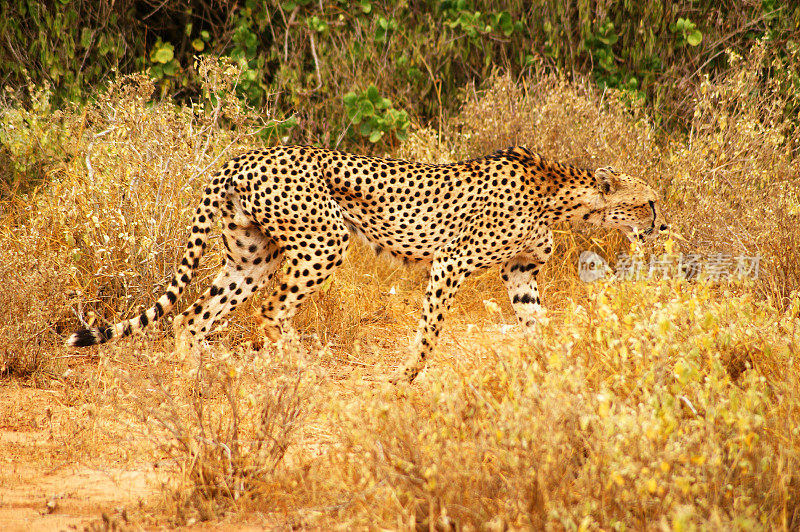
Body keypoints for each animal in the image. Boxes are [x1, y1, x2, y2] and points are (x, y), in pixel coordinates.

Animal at [65, 144, 664, 382]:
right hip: (324, 242)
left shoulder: (520, 272)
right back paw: (300, 372)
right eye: (649, 202)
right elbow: (430, 331)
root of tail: (245, 153)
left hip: (252, 257)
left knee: (194, 317)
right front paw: (406, 375)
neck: (562, 195)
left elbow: (539, 325)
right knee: (270, 314)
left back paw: (196, 384)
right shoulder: (450, 263)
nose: (661, 224)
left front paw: (558, 371)